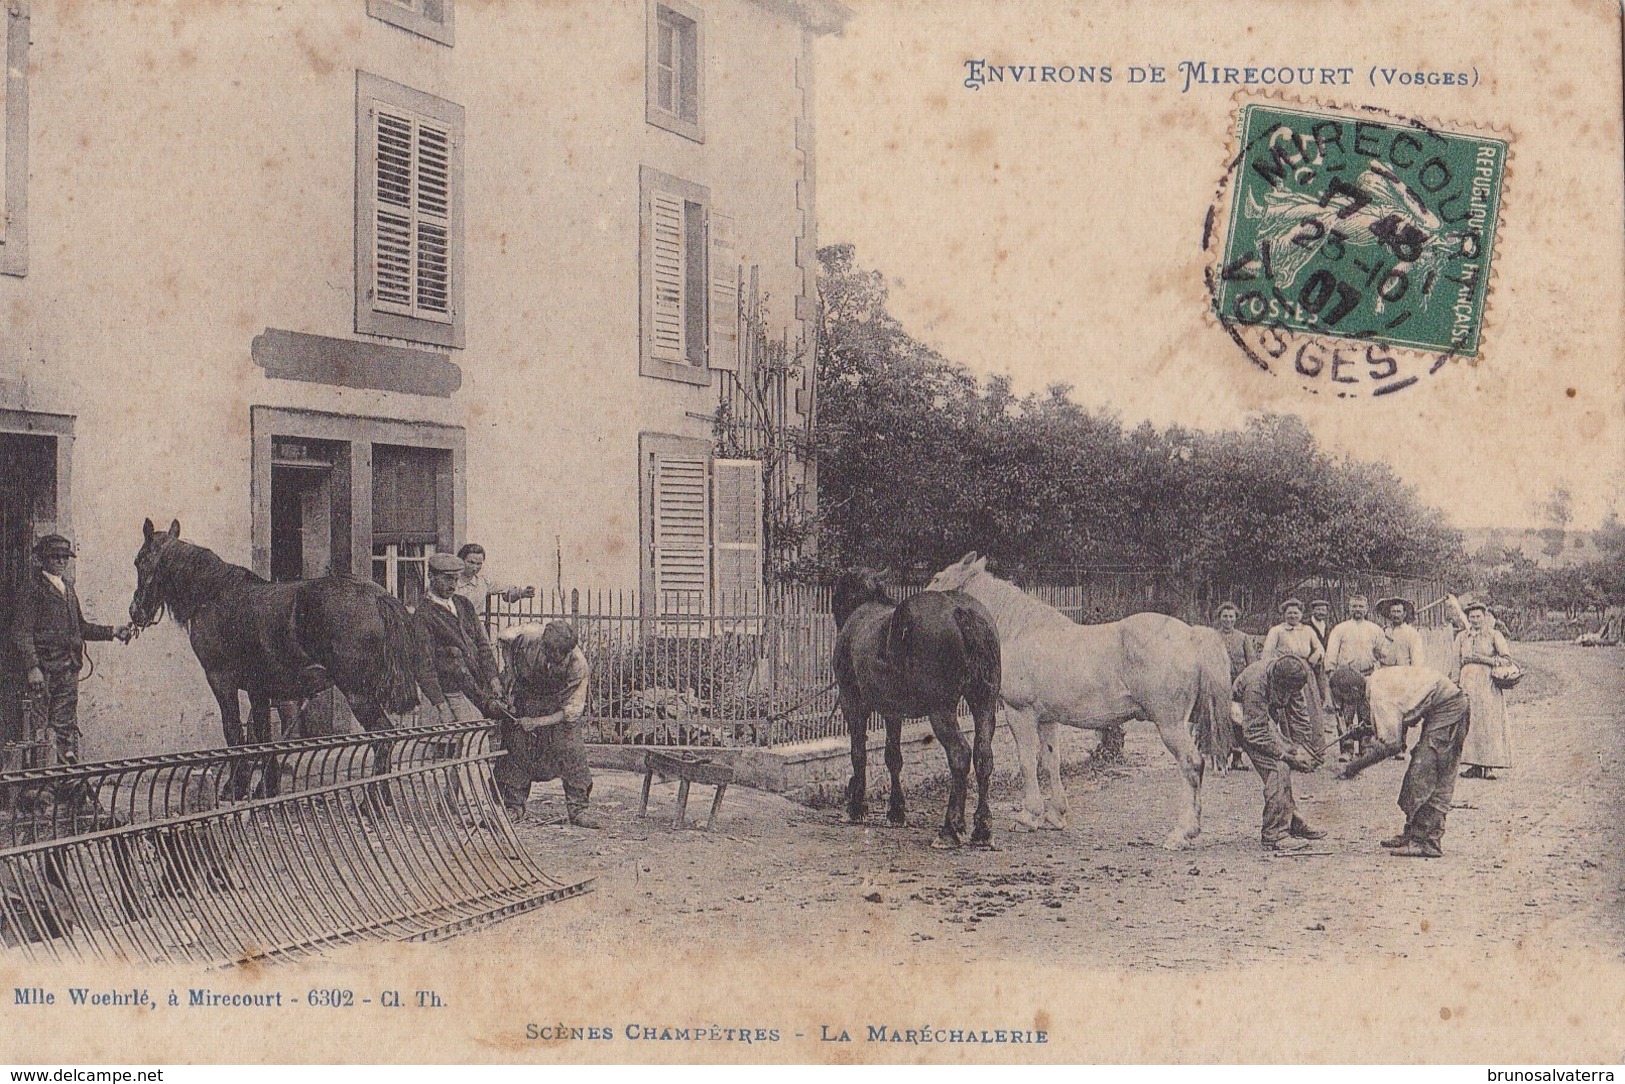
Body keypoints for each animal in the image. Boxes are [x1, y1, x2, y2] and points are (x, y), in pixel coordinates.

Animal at [126, 516, 442, 796]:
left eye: (140, 561)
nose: (135, 611)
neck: (213, 594)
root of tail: (379, 596)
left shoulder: (221, 681)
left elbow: (234, 733)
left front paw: (237, 788)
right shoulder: (259, 690)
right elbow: (262, 738)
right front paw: (266, 788)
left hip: (358, 694)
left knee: (383, 739)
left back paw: (374, 799)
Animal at [838, 568, 1001, 845]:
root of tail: (962, 611)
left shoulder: (853, 704)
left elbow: (858, 754)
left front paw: (856, 807)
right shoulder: (892, 712)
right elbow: (893, 758)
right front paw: (896, 812)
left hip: (941, 710)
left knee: (960, 754)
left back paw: (950, 829)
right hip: (985, 704)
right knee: (983, 756)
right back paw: (982, 829)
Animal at [929, 555, 1228, 851]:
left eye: (937, 578)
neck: (1020, 631)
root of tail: (1191, 635)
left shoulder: (1019, 713)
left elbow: (1027, 761)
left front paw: (1028, 816)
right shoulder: (1047, 719)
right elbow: (1050, 760)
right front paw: (1055, 815)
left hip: (1170, 725)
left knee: (1192, 764)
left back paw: (1181, 834)